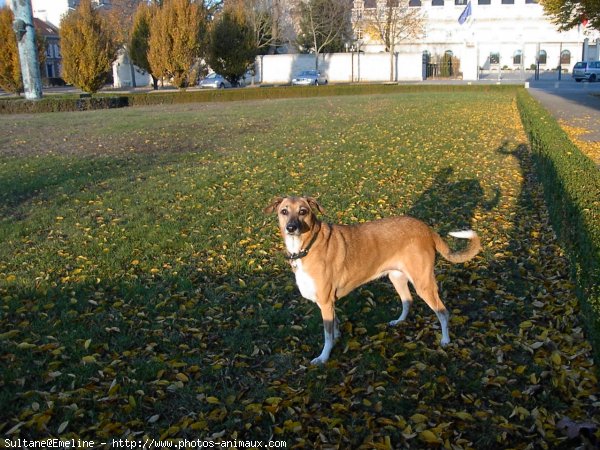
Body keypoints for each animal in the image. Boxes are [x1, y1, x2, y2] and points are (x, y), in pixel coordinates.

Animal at [264, 195, 480, 364]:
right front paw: (337, 337)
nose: (291, 227)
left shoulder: (325, 301)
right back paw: (399, 321)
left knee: (443, 312)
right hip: (396, 277)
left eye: (303, 211)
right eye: (284, 211)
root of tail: (425, 228)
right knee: (407, 300)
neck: (307, 245)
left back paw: (445, 340)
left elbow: (327, 335)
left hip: (423, 283)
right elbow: (334, 326)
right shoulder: (329, 303)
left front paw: (324, 357)